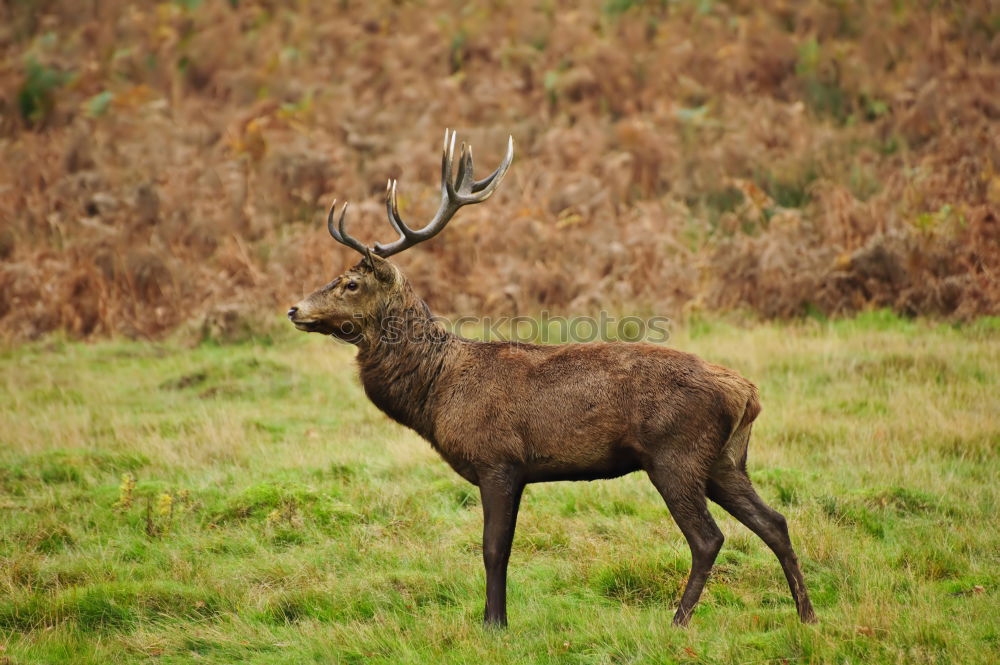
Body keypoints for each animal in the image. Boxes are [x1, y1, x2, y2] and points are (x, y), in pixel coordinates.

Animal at [286, 130, 816, 628]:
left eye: (351, 283)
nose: (294, 309)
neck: (437, 394)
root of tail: (747, 393)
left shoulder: (498, 459)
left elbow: (494, 548)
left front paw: (494, 624)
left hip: (675, 454)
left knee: (708, 537)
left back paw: (679, 621)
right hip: (726, 459)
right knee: (775, 521)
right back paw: (807, 614)